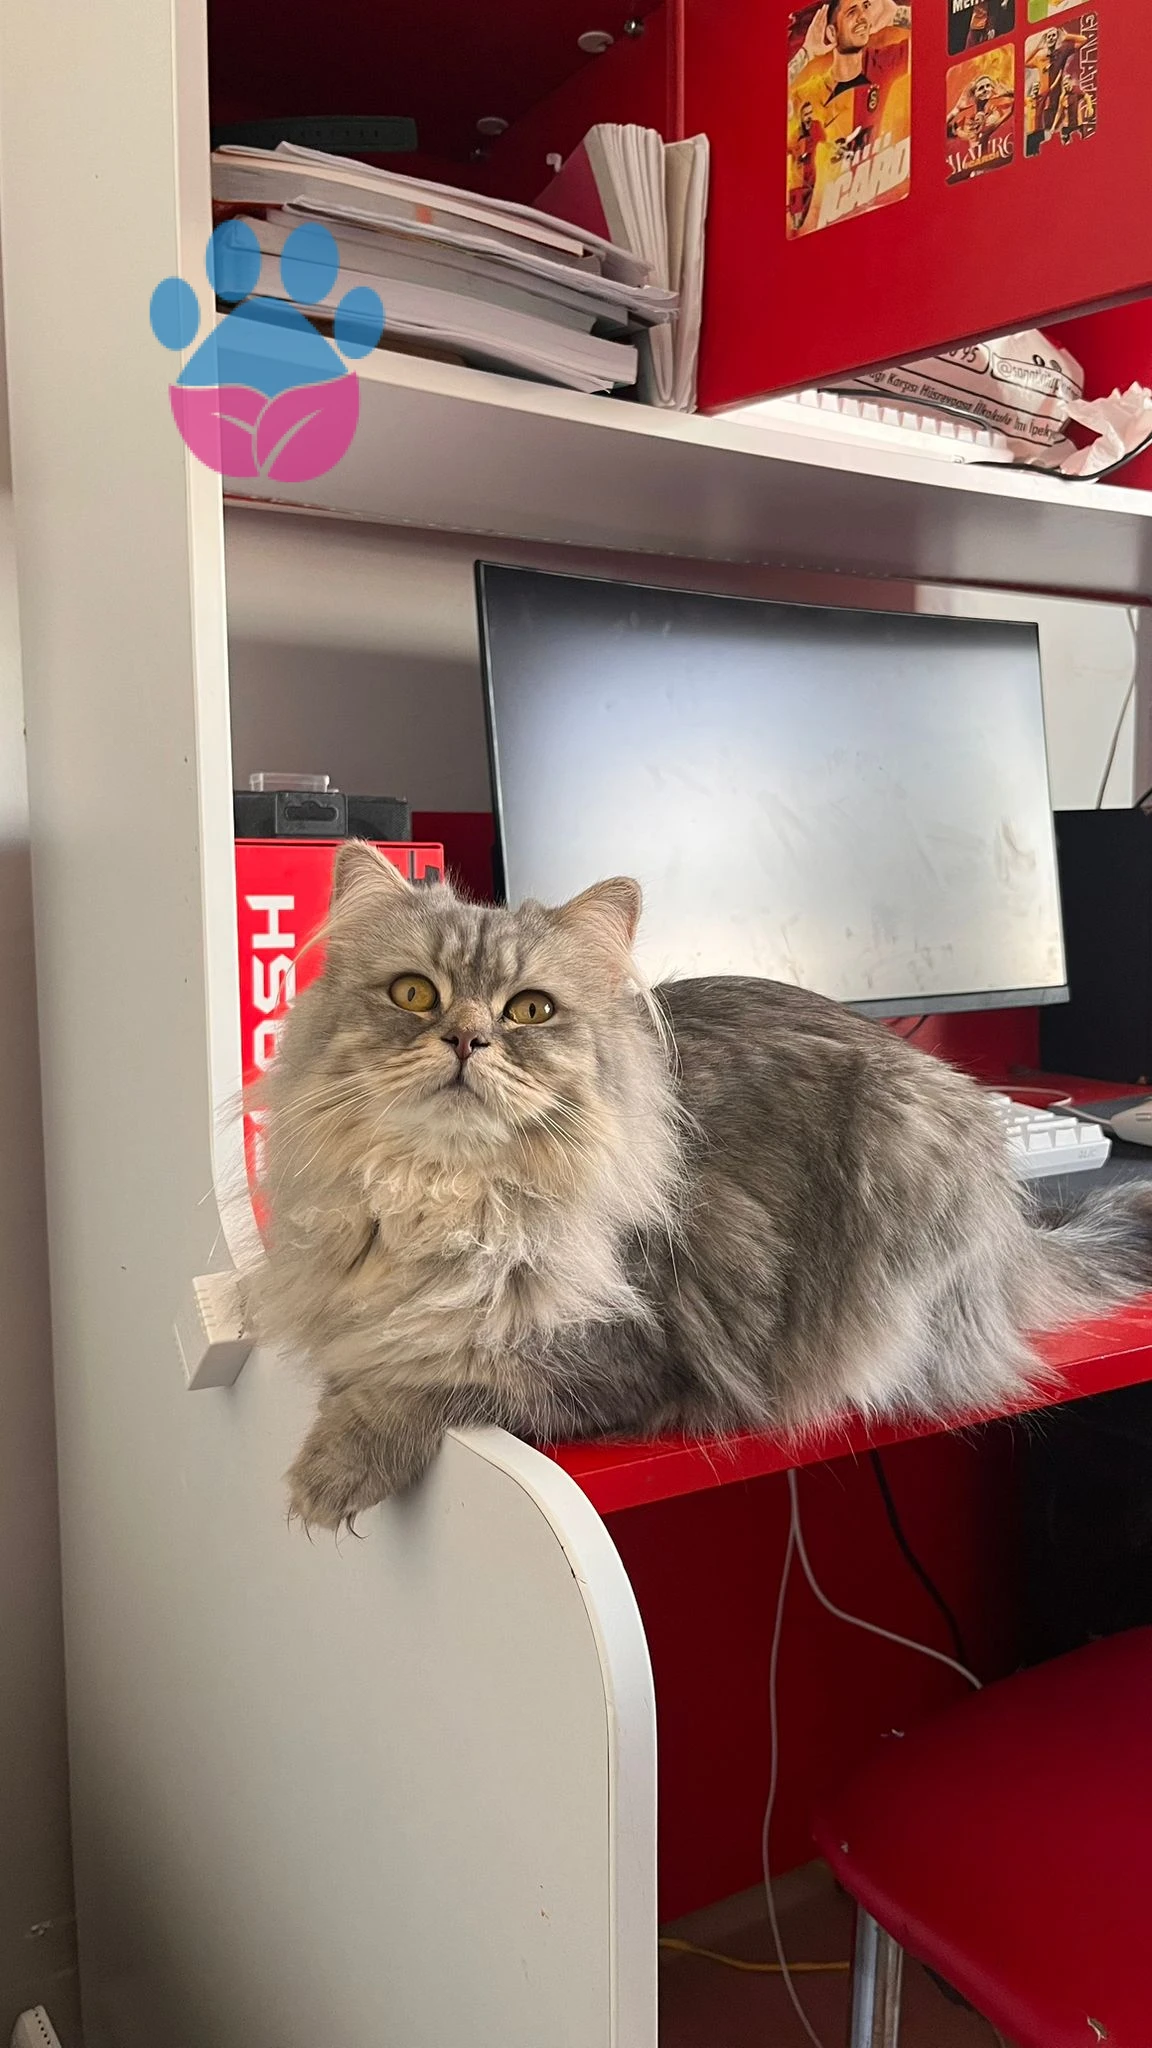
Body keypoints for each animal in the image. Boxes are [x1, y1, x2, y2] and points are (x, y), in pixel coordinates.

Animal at [252, 841, 1152, 1530]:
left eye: (530, 1011)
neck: (446, 1198)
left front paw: (329, 1469)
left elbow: (432, 1378)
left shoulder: (610, 1359)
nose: (468, 1039)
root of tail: (1014, 1233)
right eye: (414, 994)